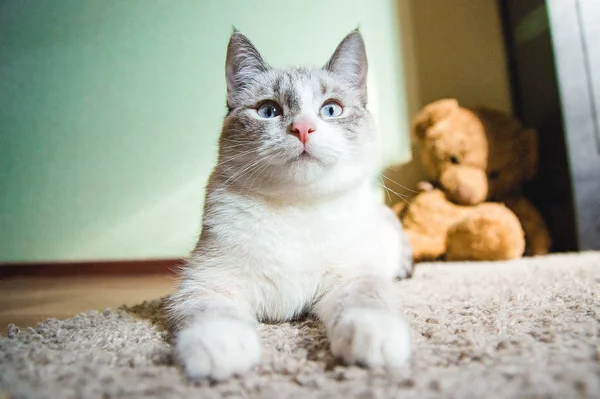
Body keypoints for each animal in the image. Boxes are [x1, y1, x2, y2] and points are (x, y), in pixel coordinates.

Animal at [166, 28, 414, 382]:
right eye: (269, 111)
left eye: (331, 110)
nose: (303, 129)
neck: (296, 206)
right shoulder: (207, 283)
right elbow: (211, 313)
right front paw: (221, 348)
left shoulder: (353, 276)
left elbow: (368, 301)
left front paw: (375, 339)